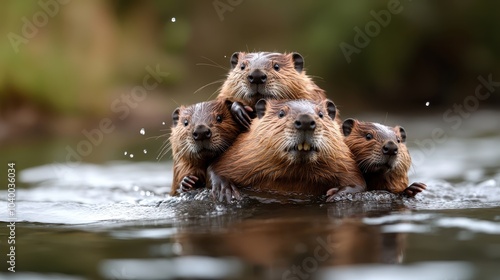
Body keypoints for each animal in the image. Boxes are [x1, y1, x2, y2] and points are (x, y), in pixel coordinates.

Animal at [209, 98, 366, 201]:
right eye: (281, 113)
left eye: (321, 114)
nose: (305, 121)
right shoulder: (241, 154)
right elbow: (215, 168)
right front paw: (225, 189)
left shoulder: (343, 159)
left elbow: (358, 182)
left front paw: (338, 193)